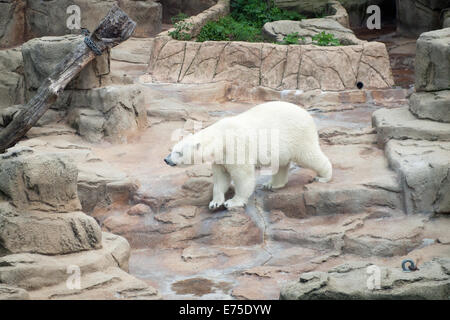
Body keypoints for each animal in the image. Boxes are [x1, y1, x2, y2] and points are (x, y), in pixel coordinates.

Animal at [164, 101, 330, 209]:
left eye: (178, 152)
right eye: (172, 149)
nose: (166, 160)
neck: (221, 136)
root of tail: (306, 113)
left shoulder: (236, 147)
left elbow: (242, 176)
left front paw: (232, 202)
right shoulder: (220, 158)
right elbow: (221, 178)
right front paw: (215, 202)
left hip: (298, 134)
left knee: (309, 155)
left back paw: (323, 177)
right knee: (282, 163)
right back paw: (271, 184)